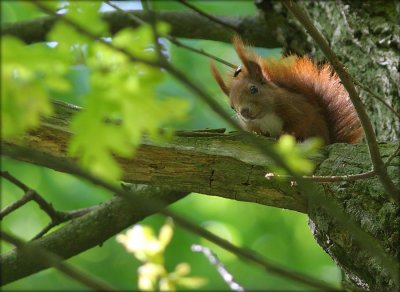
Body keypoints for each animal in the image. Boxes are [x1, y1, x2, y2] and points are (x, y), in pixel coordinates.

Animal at [211, 37, 360, 144]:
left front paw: (284, 135)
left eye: (254, 89)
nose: (244, 112)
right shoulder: (251, 125)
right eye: (232, 106)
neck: (265, 115)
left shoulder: (293, 106)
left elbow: (300, 121)